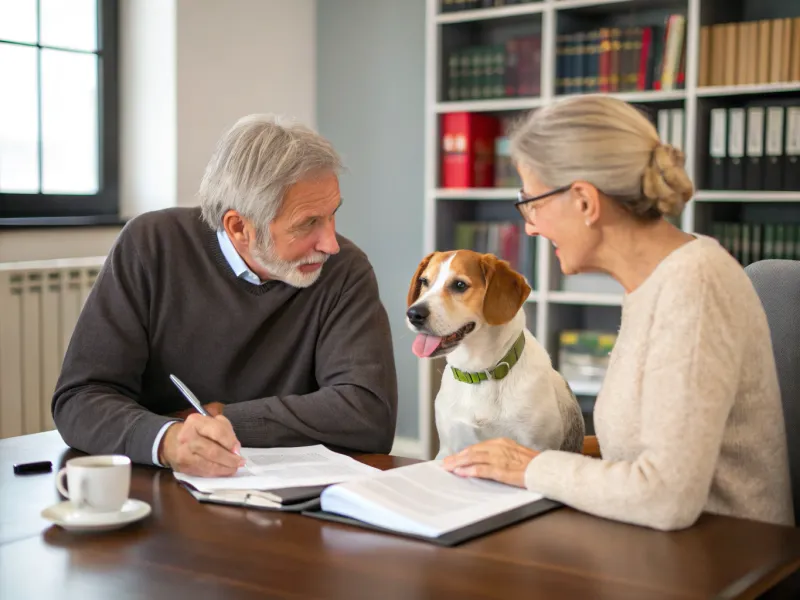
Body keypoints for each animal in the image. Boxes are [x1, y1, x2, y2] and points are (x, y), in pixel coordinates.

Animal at [406, 248, 580, 460]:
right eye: (424, 281)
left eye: (459, 285)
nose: (413, 314)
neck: (479, 373)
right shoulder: (448, 448)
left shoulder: (536, 446)